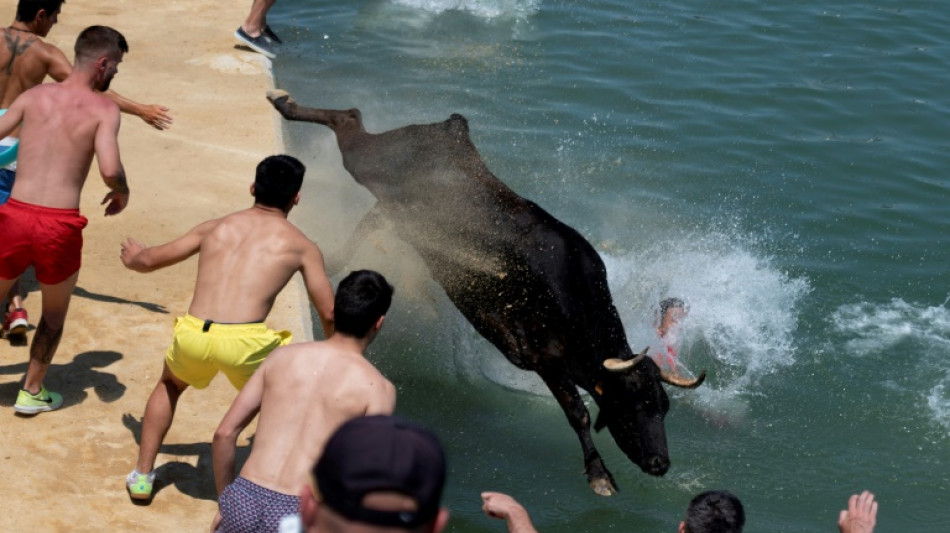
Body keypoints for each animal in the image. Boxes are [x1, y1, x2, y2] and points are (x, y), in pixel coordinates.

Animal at [268, 90, 708, 494]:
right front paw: (599, 473)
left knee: (368, 206)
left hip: (396, 209)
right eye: (632, 402)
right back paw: (285, 104)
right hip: (368, 161)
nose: (659, 462)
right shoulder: (543, 359)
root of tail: (449, 129)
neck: (575, 300)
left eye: (663, 406)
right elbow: (577, 413)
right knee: (349, 120)